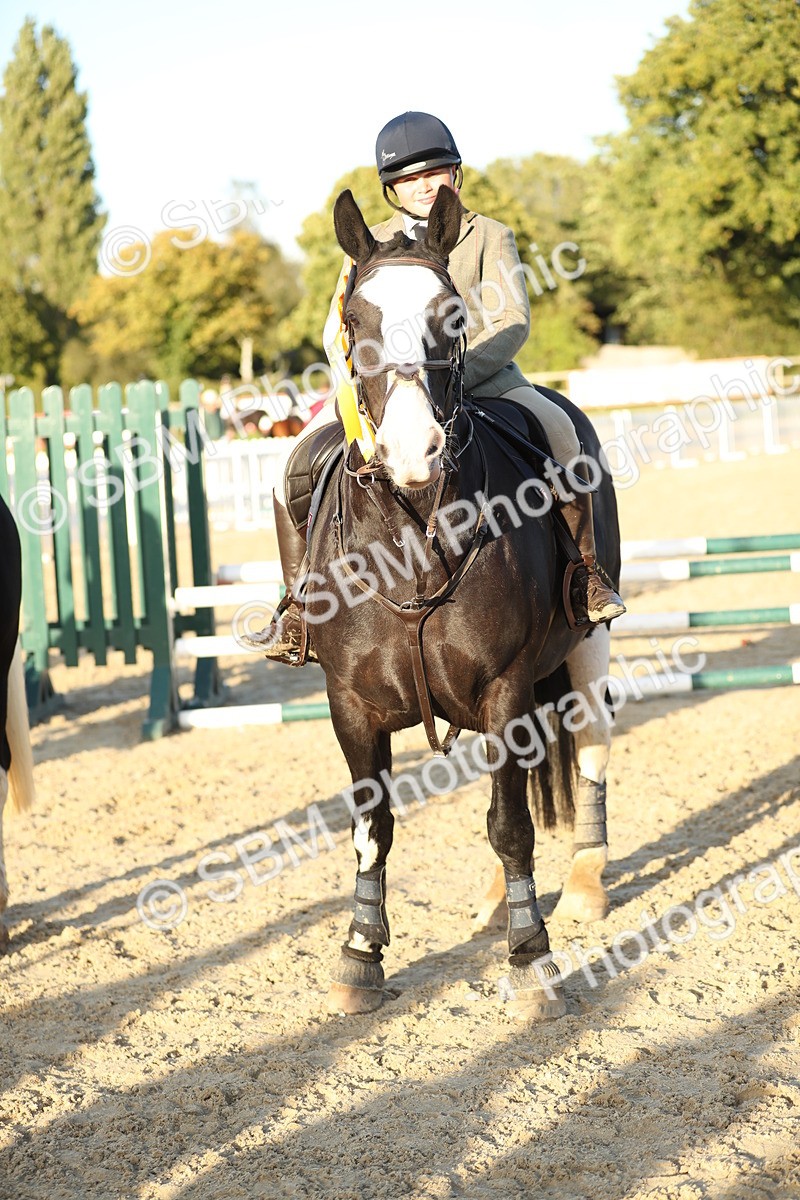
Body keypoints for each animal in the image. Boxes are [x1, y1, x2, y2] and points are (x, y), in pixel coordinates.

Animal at [305, 186, 622, 1019]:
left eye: (452, 313)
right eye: (355, 319)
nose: (414, 451)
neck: (414, 534)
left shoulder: (505, 686)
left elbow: (512, 825)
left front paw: (532, 959)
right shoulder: (349, 702)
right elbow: (374, 826)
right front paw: (360, 955)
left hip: (587, 649)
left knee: (591, 750)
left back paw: (583, 886)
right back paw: (492, 902)